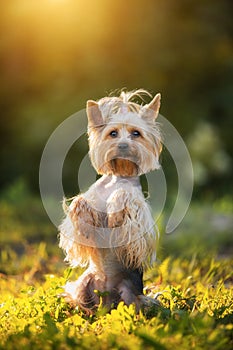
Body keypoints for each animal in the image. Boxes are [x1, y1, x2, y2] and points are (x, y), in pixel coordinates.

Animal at [59, 89, 163, 314]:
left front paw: (115, 212)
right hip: (82, 285)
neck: (118, 175)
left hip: (129, 293)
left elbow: (124, 195)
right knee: (81, 300)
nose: (123, 145)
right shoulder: (91, 197)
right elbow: (80, 202)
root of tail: (105, 300)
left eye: (136, 133)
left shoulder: (140, 216)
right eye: (113, 133)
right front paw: (84, 222)